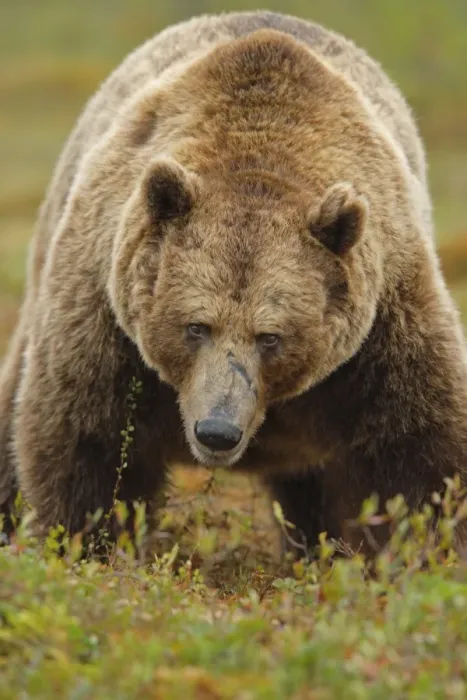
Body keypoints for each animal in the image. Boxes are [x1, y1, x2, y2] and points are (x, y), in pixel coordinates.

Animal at [1, 10, 467, 556]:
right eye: (195, 326)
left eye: (271, 336)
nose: (217, 431)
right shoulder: (106, 314)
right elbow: (86, 441)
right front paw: (83, 543)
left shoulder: (384, 325)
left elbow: (419, 454)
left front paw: (424, 550)